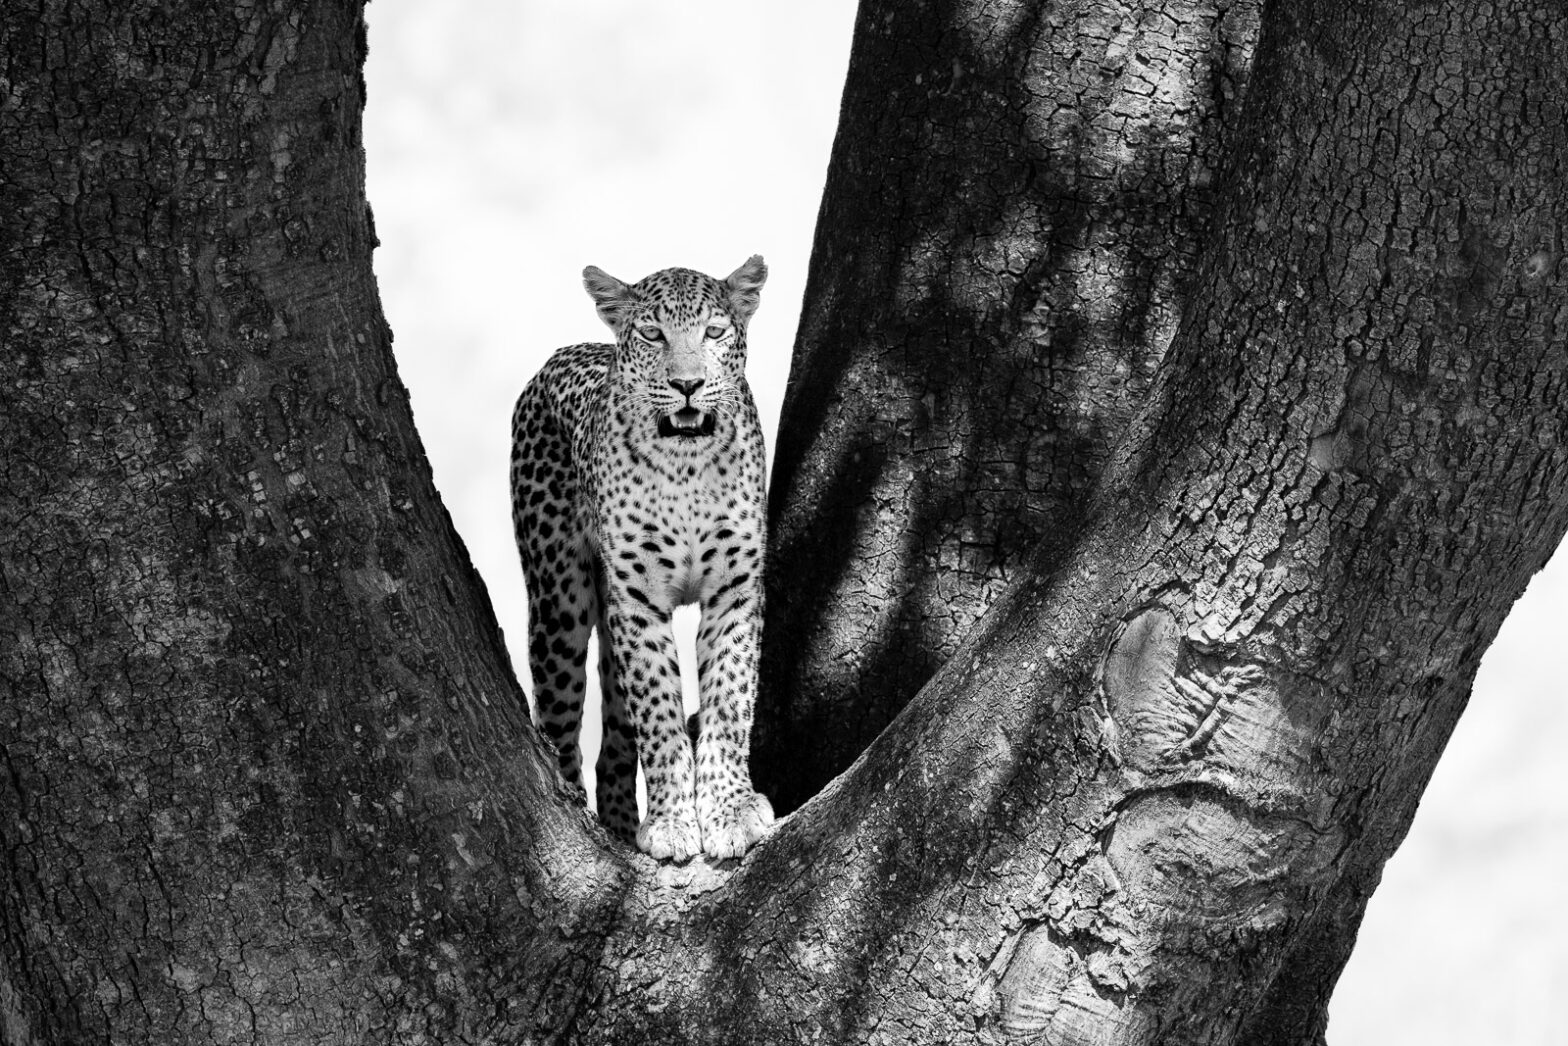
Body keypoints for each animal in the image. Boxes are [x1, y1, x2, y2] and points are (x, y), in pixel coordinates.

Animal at [511, 257, 774, 865]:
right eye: (653, 334)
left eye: (714, 332)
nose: (687, 385)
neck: (686, 466)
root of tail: (564, 352)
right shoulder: (638, 603)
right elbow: (659, 714)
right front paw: (675, 821)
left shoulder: (735, 593)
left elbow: (728, 704)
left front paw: (729, 813)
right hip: (559, 607)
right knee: (560, 729)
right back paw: (578, 815)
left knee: (613, 743)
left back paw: (619, 822)